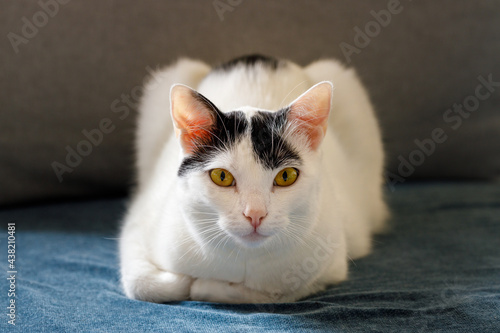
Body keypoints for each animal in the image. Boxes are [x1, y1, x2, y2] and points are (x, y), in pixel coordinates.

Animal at [119, 54, 388, 304]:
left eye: (286, 176)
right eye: (222, 176)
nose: (255, 214)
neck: (244, 259)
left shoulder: (331, 265)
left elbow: (274, 292)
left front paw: (204, 285)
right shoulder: (137, 225)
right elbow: (142, 284)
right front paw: (183, 281)